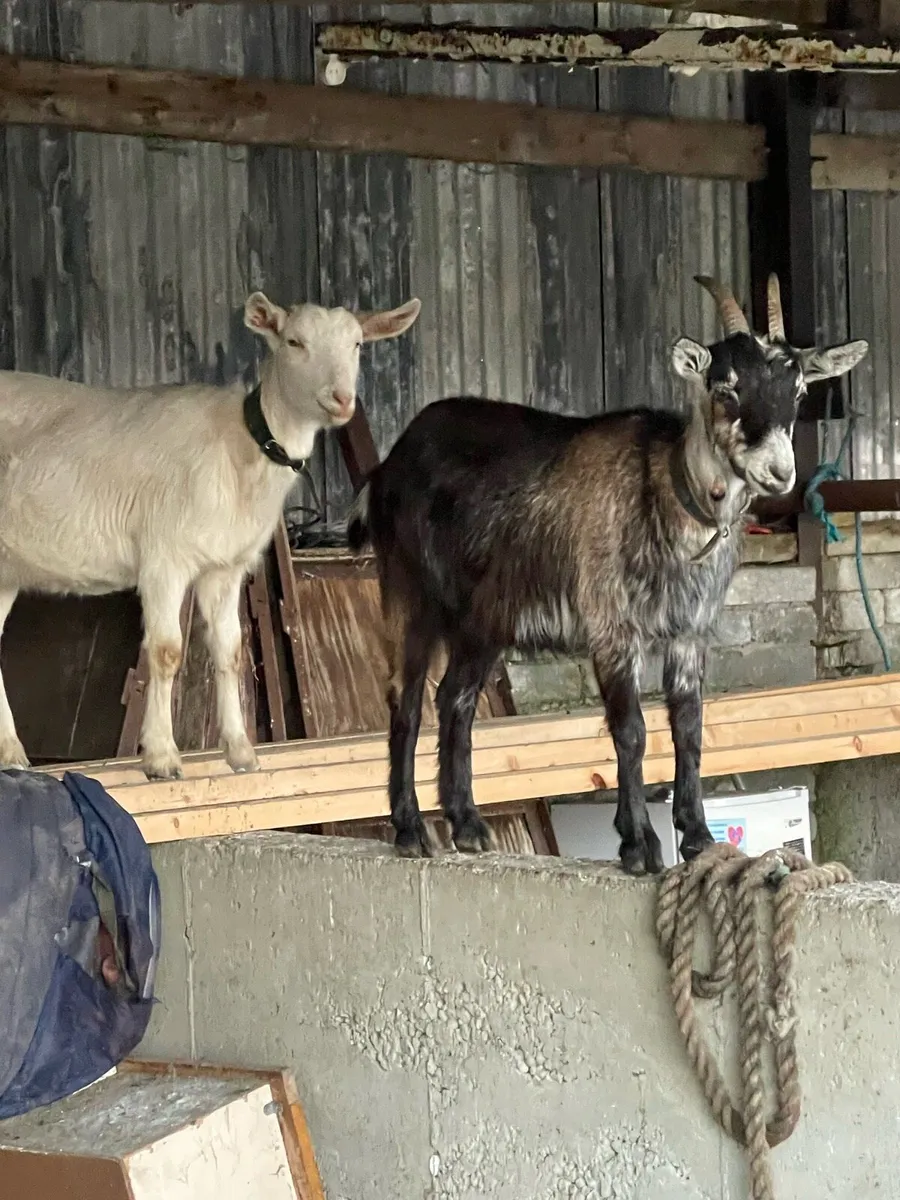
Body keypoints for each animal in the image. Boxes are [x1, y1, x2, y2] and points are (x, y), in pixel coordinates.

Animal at [0, 291, 421, 780]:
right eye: (294, 342)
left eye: (357, 344)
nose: (341, 399)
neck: (241, 446)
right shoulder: (164, 558)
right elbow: (166, 652)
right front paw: (162, 756)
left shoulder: (225, 566)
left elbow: (230, 651)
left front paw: (241, 752)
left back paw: (11, 750)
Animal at [349, 275, 868, 874]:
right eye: (726, 388)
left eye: (800, 391)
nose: (779, 472)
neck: (666, 491)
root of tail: (390, 463)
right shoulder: (613, 627)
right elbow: (632, 730)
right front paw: (640, 845)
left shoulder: (689, 632)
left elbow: (688, 727)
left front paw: (697, 837)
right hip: (410, 592)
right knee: (405, 701)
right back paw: (411, 829)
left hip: (485, 619)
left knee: (455, 698)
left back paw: (469, 825)